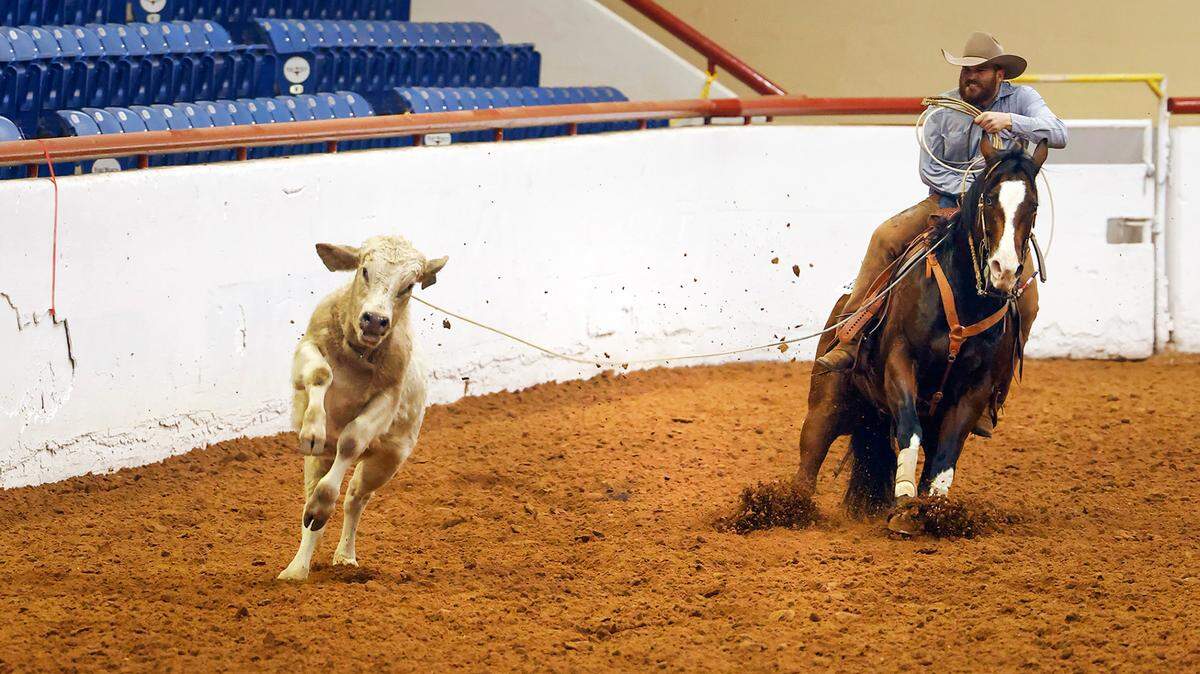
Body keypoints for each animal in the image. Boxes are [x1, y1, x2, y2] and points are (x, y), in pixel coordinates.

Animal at [795, 137, 1048, 534]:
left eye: (1033, 204)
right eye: (990, 199)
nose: (1004, 270)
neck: (965, 302)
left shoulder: (975, 388)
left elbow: (946, 456)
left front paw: (933, 513)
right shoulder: (901, 362)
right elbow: (908, 430)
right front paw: (903, 504)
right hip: (826, 405)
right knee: (811, 454)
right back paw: (786, 509)